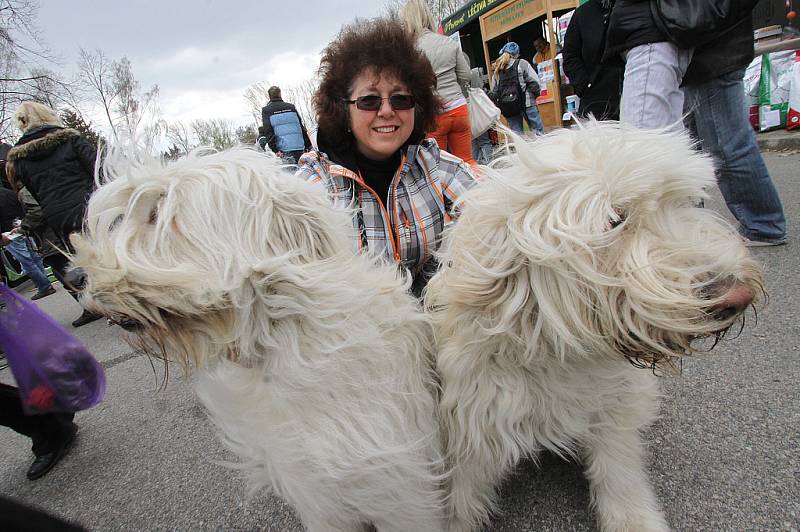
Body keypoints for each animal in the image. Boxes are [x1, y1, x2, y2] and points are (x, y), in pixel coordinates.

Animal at [428, 121, 764, 532]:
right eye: (614, 219)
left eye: (685, 203)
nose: (738, 295)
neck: (554, 350)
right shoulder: (474, 421)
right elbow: (460, 493)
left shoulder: (612, 405)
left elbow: (617, 468)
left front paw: (635, 519)